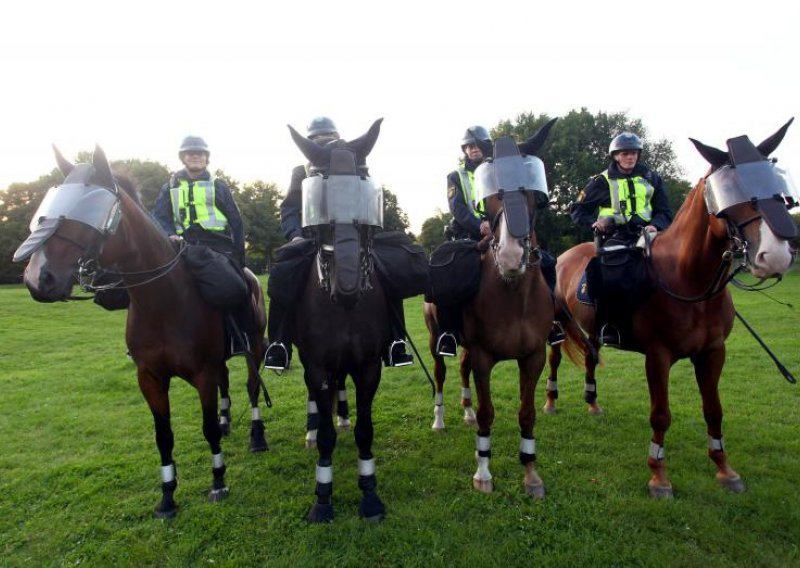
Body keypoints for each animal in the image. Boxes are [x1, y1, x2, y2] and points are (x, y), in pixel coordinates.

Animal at [14, 145, 268, 516]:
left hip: (255, 346)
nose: (37, 278)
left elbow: (206, 429)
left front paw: (218, 481)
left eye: (89, 215)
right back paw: (226, 422)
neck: (164, 302)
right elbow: (163, 436)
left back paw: (257, 435)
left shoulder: (202, 373)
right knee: (226, 383)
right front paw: (167, 496)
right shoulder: (149, 378)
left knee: (251, 386)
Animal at [286, 120, 390, 524]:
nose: (347, 288)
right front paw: (323, 498)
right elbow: (327, 434)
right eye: (315, 190)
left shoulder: (368, 366)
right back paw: (313, 431)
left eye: (365, 185)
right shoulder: (316, 367)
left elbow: (365, 430)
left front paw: (370, 495)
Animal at [454, 120, 560, 496]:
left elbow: (526, 413)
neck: (513, 296)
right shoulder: (484, 356)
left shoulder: (534, 357)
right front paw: (483, 472)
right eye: (490, 194)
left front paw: (531, 473)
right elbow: (488, 413)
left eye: (532, 193)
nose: (512, 257)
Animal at [540, 120, 796, 496]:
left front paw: (725, 469)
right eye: (729, 192)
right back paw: (551, 401)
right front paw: (659, 476)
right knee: (556, 358)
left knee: (589, 355)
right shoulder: (658, 356)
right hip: (558, 325)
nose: (774, 256)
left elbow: (714, 410)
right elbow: (660, 414)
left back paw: (593, 402)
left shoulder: (713, 353)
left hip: (594, 328)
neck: (687, 281)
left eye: (776, 185)